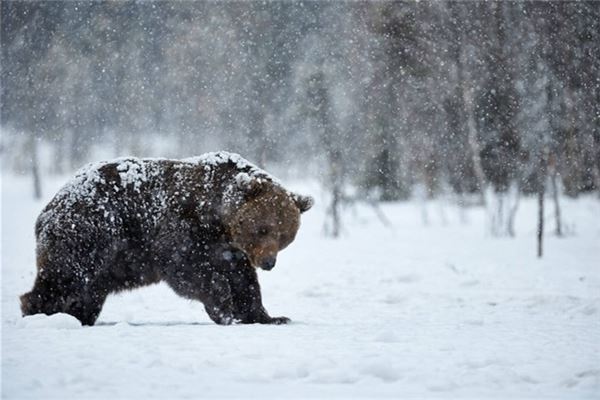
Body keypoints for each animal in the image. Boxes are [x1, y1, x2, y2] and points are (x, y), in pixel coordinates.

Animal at [19, 152, 314, 326]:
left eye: (285, 235)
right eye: (262, 228)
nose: (268, 262)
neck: (217, 217)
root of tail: (51, 204)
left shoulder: (230, 249)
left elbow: (245, 281)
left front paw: (271, 316)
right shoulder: (181, 228)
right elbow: (188, 269)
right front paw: (224, 306)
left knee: (87, 292)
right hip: (90, 231)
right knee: (66, 276)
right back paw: (41, 313)